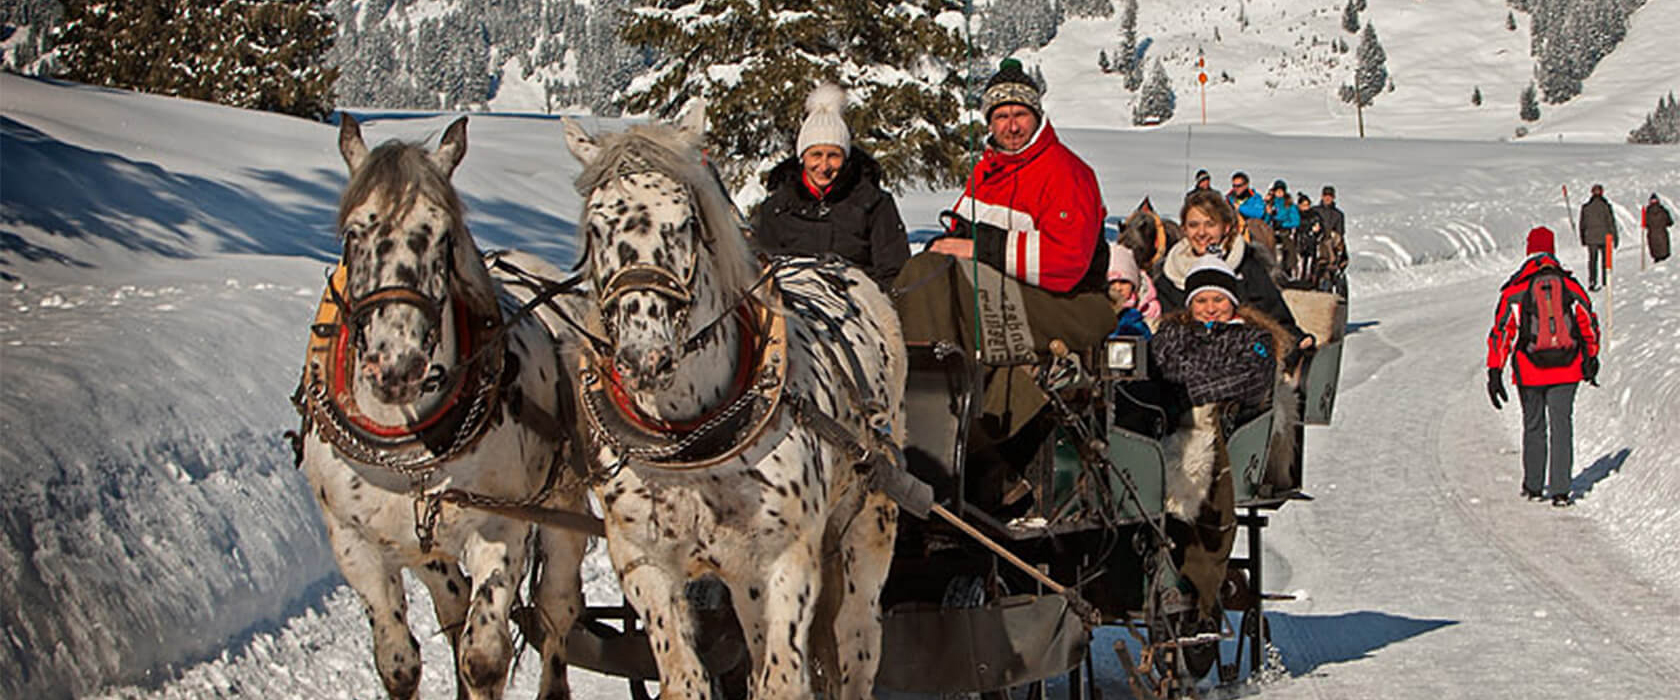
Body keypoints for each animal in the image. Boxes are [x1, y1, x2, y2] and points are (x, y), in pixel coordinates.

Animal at [294, 115, 591, 698]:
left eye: (443, 235)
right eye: (353, 234)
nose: (397, 365)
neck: (408, 442)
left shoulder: (501, 527)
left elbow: (484, 657)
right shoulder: (356, 544)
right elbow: (399, 663)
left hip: (563, 512)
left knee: (555, 613)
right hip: (429, 551)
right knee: (454, 611)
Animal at [561, 111, 907, 694]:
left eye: (685, 223)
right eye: (595, 228)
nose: (644, 357)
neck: (692, 440)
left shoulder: (787, 560)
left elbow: (783, 683)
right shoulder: (645, 564)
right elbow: (687, 680)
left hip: (868, 526)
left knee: (858, 645)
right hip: (745, 580)